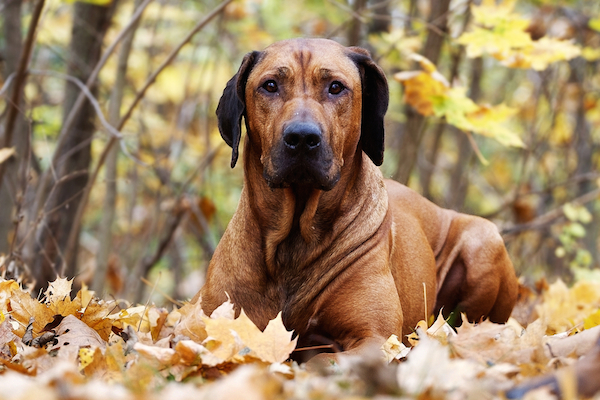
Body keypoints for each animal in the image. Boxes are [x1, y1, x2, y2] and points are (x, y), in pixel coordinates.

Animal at [193, 38, 520, 362]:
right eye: (270, 85)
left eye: (336, 87)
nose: (302, 138)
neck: (295, 240)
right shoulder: (209, 321)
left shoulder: (376, 337)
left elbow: (326, 358)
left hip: (484, 240)